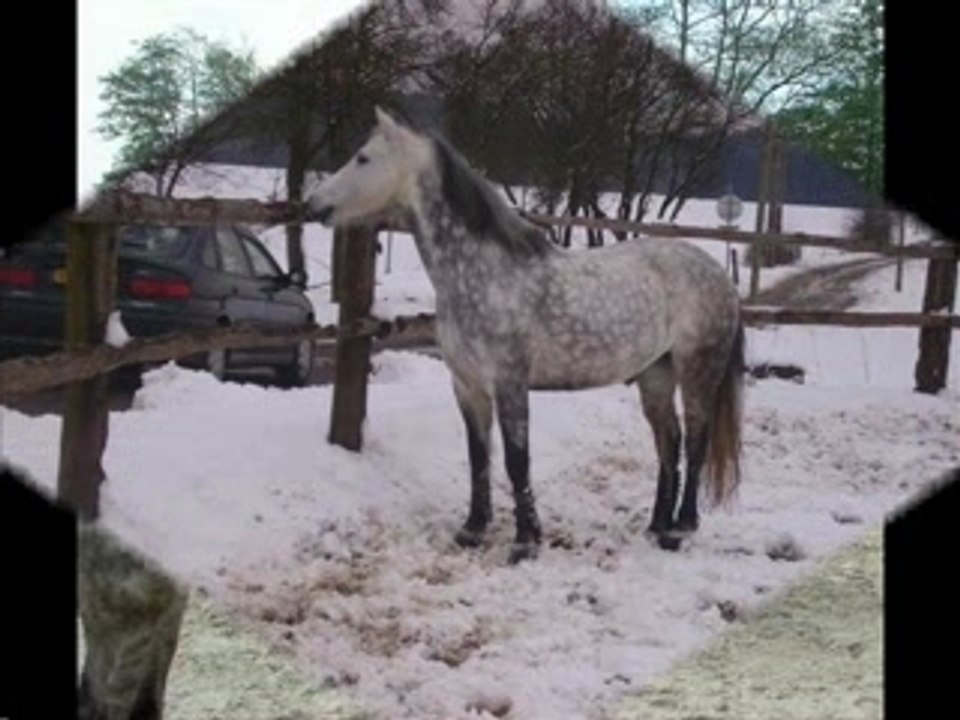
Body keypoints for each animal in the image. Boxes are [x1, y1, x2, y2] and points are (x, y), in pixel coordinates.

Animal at [308, 107, 744, 563]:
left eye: (363, 158)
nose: (313, 204)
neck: (482, 274)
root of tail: (720, 275)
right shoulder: (467, 386)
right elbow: (479, 457)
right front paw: (473, 528)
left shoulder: (510, 385)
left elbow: (518, 461)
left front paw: (524, 541)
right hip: (656, 375)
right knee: (668, 443)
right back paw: (657, 526)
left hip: (698, 372)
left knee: (695, 442)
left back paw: (680, 528)